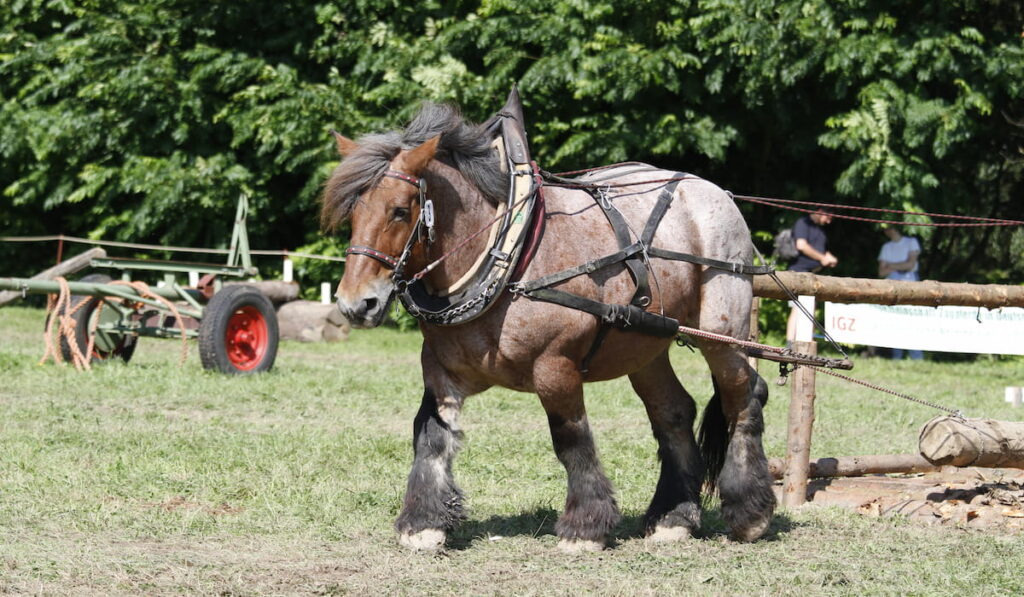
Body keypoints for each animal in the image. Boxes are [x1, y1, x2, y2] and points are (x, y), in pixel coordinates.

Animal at [323, 92, 770, 552]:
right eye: (353, 213)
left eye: (399, 211)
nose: (356, 304)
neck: (506, 253)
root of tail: (714, 191)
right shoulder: (442, 371)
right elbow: (430, 435)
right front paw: (423, 521)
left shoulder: (556, 367)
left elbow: (571, 439)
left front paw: (585, 527)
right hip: (644, 346)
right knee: (675, 412)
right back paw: (673, 516)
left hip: (723, 334)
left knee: (743, 397)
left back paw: (750, 513)